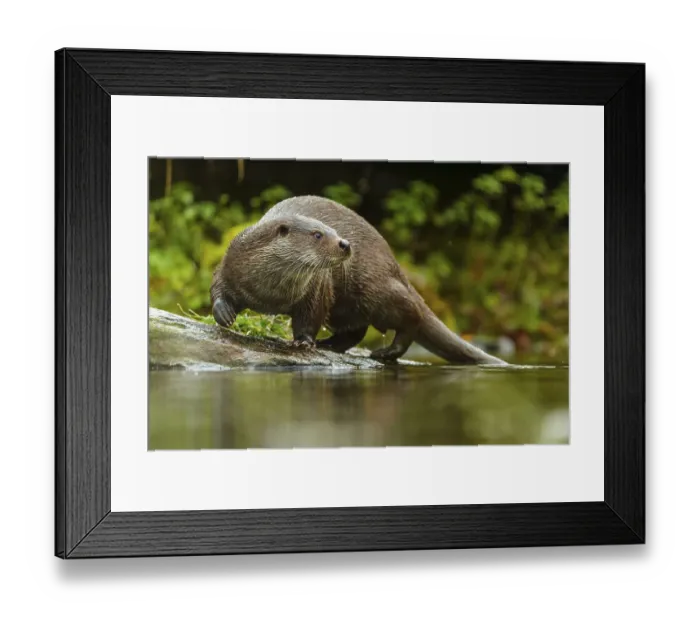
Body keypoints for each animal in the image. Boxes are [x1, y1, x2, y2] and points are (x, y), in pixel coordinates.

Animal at [210, 196, 506, 365]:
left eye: (335, 231)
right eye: (317, 234)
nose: (345, 243)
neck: (271, 294)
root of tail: (394, 265)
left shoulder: (315, 289)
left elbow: (309, 317)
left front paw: (303, 342)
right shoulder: (230, 260)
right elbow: (218, 287)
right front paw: (224, 313)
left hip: (375, 289)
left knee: (412, 314)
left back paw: (385, 352)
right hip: (346, 306)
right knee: (357, 330)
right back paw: (330, 345)